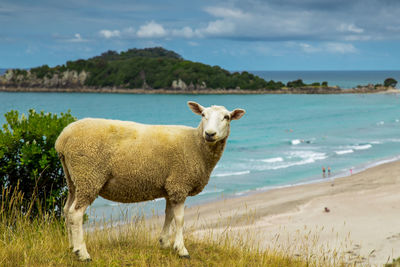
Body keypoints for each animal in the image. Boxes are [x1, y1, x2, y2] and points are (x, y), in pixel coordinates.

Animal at [54, 101, 245, 262]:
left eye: (226, 117)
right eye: (203, 115)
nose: (210, 134)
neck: (195, 144)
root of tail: (62, 139)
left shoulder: (170, 186)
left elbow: (168, 215)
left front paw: (164, 243)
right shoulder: (179, 183)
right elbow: (180, 219)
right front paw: (181, 250)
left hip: (74, 179)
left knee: (67, 210)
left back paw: (72, 247)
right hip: (89, 175)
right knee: (76, 213)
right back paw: (82, 253)